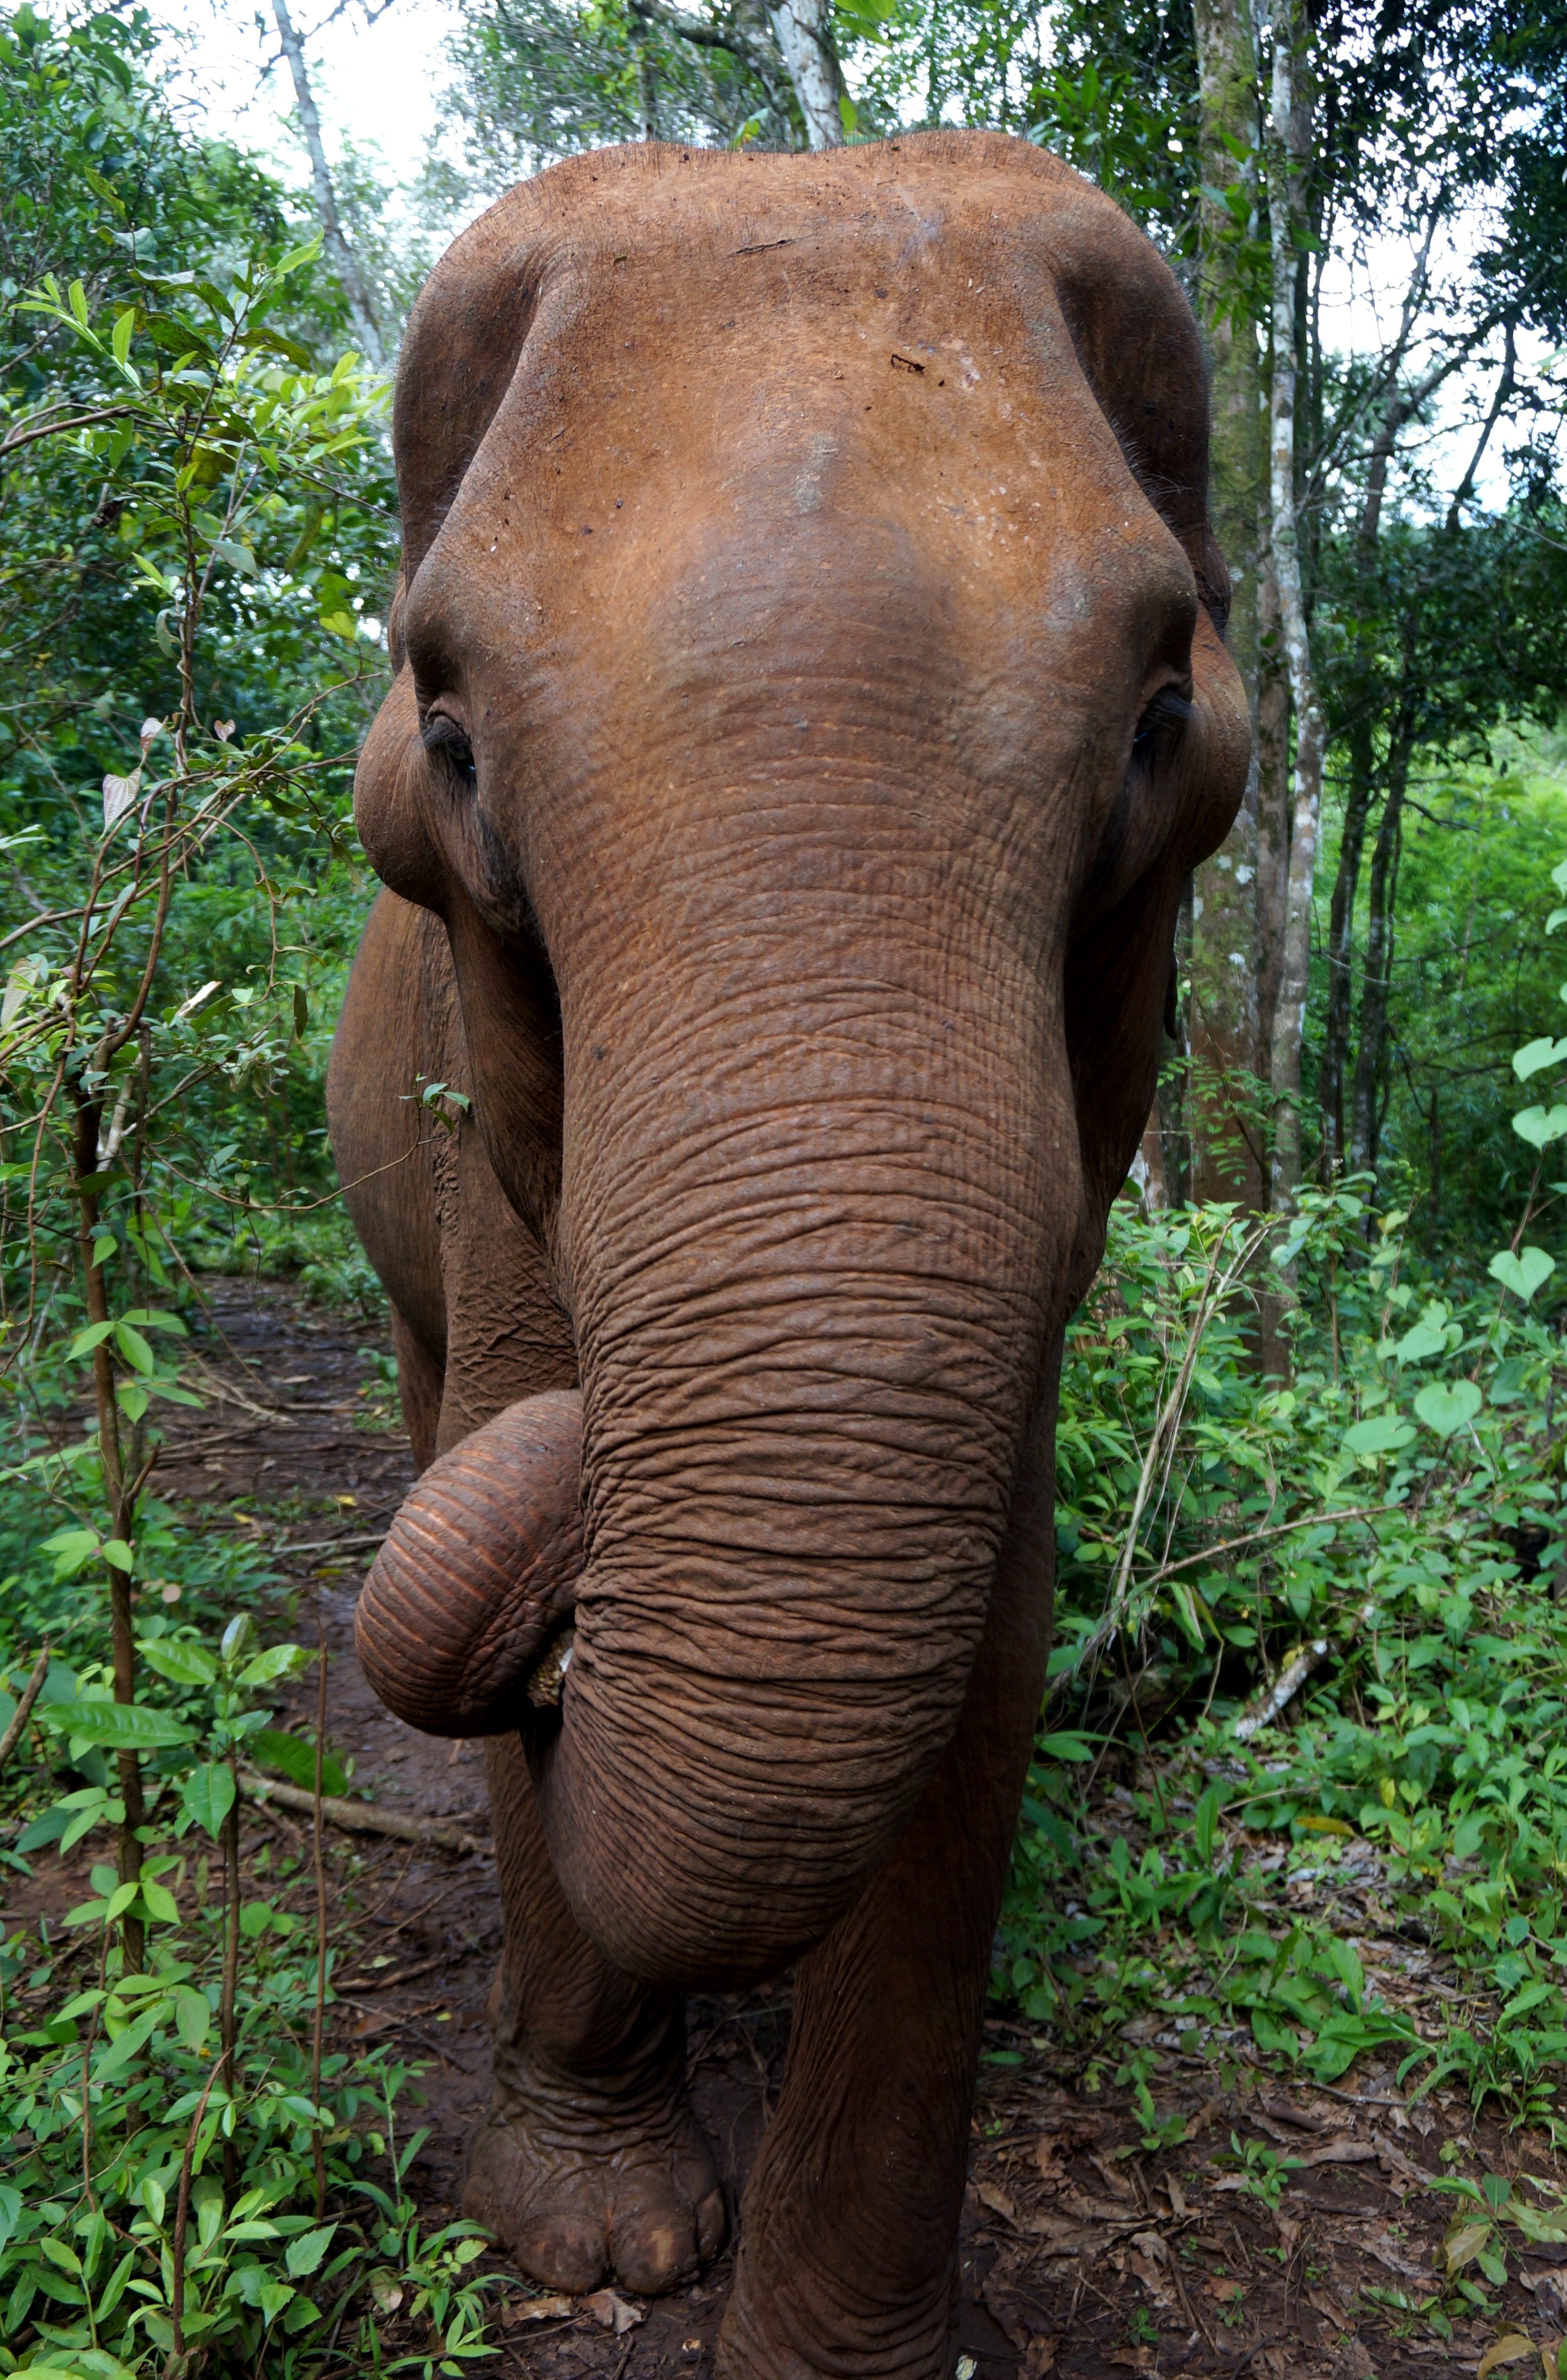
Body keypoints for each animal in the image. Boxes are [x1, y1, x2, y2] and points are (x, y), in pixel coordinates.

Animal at [327, 127, 1249, 2378]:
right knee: (426, 1404)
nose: (570, 1613)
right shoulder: (482, 1125)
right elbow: (501, 1404)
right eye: (450, 744)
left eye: (1151, 720)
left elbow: (985, 1631)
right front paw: (602, 2239)